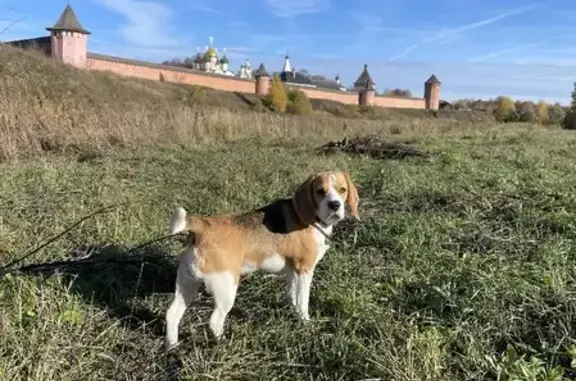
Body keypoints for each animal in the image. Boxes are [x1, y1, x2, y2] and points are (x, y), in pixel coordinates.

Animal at [164, 171, 358, 348]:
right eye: (320, 191)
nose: (335, 205)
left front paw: (292, 312)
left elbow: (292, 295)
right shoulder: (304, 269)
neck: (313, 220)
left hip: (187, 284)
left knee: (172, 314)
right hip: (226, 287)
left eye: (342, 190)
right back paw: (224, 343)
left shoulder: (293, 271)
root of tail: (203, 226)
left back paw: (172, 347)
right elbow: (303, 301)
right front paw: (305, 323)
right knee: (214, 320)